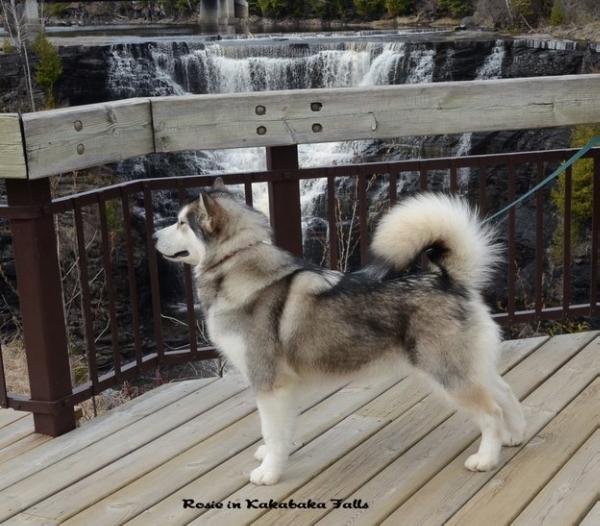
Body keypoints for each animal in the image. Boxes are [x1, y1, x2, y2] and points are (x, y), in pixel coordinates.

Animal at [155, 179, 524, 488]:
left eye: (182, 223)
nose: (154, 237)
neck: (237, 262)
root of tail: (448, 280)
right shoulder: (285, 387)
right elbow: (282, 430)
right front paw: (276, 453)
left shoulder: (269, 383)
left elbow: (272, 431)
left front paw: (269, 472)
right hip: (468, 366)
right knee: (505, 392)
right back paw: (513, 436)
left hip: (447, 373)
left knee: (490, 411)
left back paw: (486, 458)